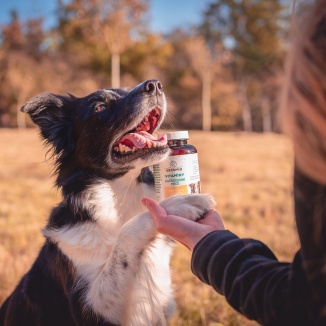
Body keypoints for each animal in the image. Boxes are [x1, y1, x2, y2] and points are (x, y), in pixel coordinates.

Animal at [0, 79, 215, 326]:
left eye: (126, 91)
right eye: (100, 107)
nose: (154, 84)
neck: (122, 195)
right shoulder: (93, 309)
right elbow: (127, 235)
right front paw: (182, 202)